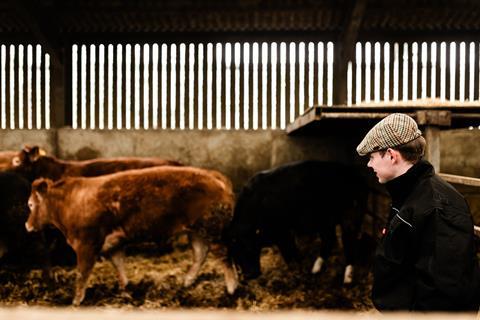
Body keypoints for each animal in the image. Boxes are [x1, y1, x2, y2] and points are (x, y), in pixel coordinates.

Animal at [24, 166, 238, 306]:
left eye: (31, 204)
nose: (27, 225)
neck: (69, 203)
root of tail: (214, 175)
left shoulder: (86, 244)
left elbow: (82, 274)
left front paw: (76, 301)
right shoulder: (113, 244)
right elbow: (118, 264)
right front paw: (126, 288)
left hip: (211, 229)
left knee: (224, 255)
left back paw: (231, 289)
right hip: (196, 231)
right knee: (200, 254)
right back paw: (187, 282)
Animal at [224, 161, 368, 284]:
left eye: (249, 246)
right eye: (235, 251)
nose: (250, 274)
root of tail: (357, 175)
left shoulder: (283, 232)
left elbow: (289, 252)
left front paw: (297, 272)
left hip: (352, 215)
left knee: (349, 243)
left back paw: (347, 280)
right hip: (325, 221)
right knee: (329, 239)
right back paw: (315, 270)